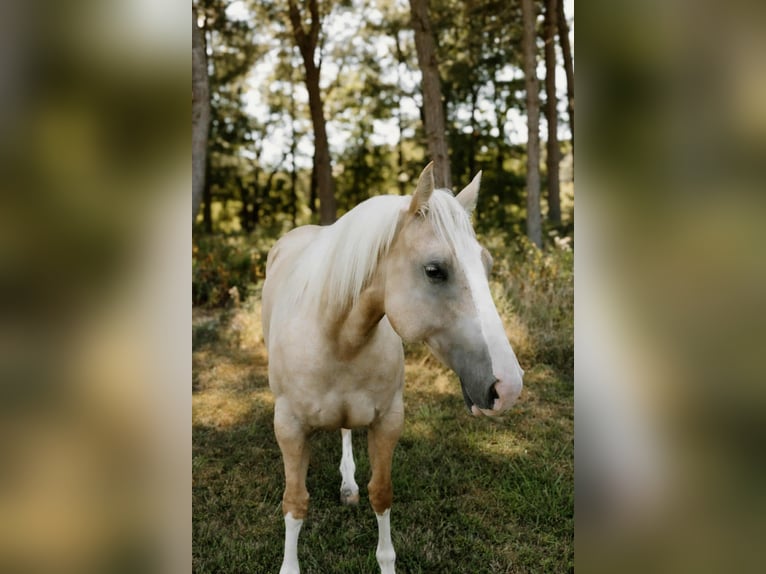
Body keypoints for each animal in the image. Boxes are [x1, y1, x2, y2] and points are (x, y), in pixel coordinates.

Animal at [261, 162, 524, 573]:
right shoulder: (289, 428)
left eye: (487, 265)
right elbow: (295, 501)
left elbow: (381, 494)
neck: (336, 337)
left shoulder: (387, 421)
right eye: (434, 270)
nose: (508, 387)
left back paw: (348, 485)